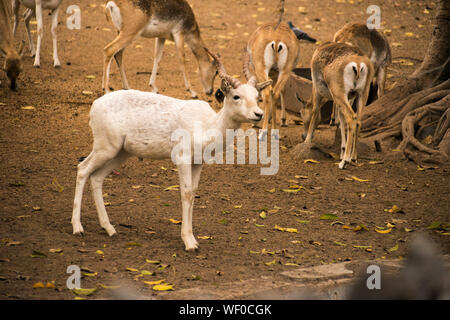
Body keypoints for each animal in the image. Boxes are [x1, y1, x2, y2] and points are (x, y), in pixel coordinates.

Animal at [300, 42, 374, 170]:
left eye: (301, 114)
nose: (302, 136)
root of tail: (358, 64)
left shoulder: (317, 90)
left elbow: (315, 111)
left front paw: (307, 141)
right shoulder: (348, 98)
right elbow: (341, 120)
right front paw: (342, 152)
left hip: (341, 94)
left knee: (351, 118)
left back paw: (344, 162)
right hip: (362, 94)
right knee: (358, 121)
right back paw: (353, 157)